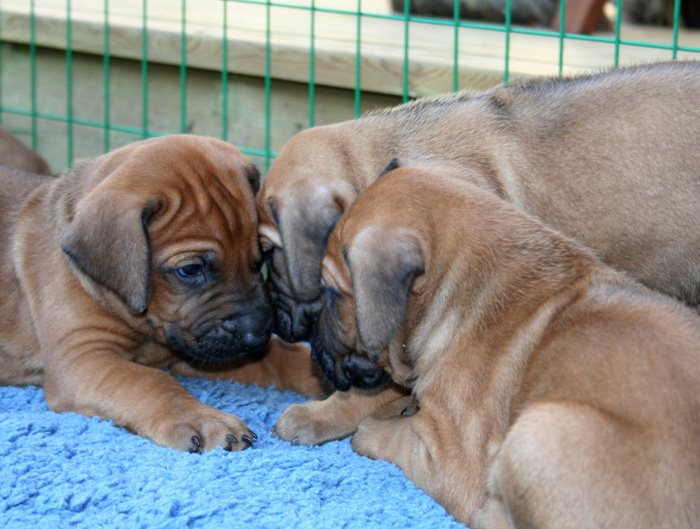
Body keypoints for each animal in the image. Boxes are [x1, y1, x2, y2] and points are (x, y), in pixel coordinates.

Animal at [0, 134, 326, 452]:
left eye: (259, 261)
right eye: (190, 270)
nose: (257, 337)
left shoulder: (192, 352)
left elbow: (281, 356)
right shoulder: (82, 358)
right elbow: (150, 381)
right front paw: (203, 420)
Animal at [296, 163, 700, 524]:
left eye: (331, 292)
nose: (312, 346)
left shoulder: (450, 459)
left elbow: (393, 438)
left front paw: (372, 427)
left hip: (537, 433)